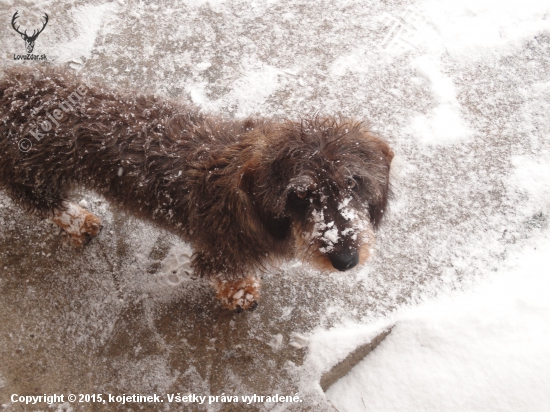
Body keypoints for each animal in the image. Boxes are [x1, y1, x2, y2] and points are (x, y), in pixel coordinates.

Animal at [1, 67, 396, 310]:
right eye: (299, 195)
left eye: (353, 182)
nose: (346, 261)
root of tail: (11, 89)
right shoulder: (220, 250)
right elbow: (228, 275)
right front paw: (241, 295)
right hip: (29, 177)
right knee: (48, 205)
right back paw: (79, 222)